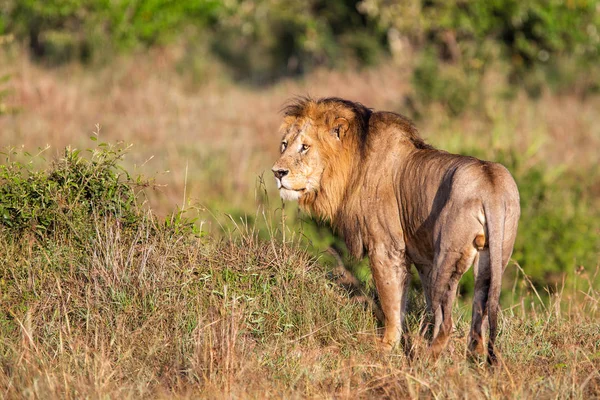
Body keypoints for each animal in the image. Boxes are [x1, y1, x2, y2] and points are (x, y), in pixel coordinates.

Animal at [272, 97, 520, 362]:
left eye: (305, 147)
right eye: (284, 145)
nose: (277, 172)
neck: (353, 164)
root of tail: (490, 186)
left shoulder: (386, 248)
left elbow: (391, 301)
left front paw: (386, 346)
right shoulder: (423, 257)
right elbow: (426, 303)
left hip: (448, 256)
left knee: (448, 322)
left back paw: (427, 359)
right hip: (493, 258)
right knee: (478, 313)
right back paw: (473, 356)